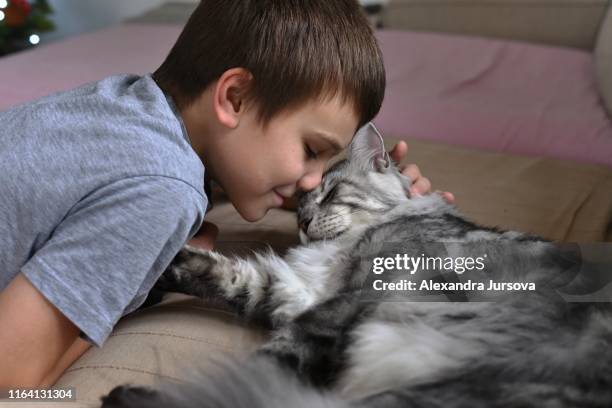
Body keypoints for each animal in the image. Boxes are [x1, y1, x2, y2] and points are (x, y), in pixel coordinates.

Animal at [100, 123, 612, 408]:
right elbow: (226, 275)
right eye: (297, 208)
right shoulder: (298, 289)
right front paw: (157, 261)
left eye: (329, 194)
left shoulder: (345, 302)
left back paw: (125, 396)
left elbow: (268, 358)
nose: (305, 223)